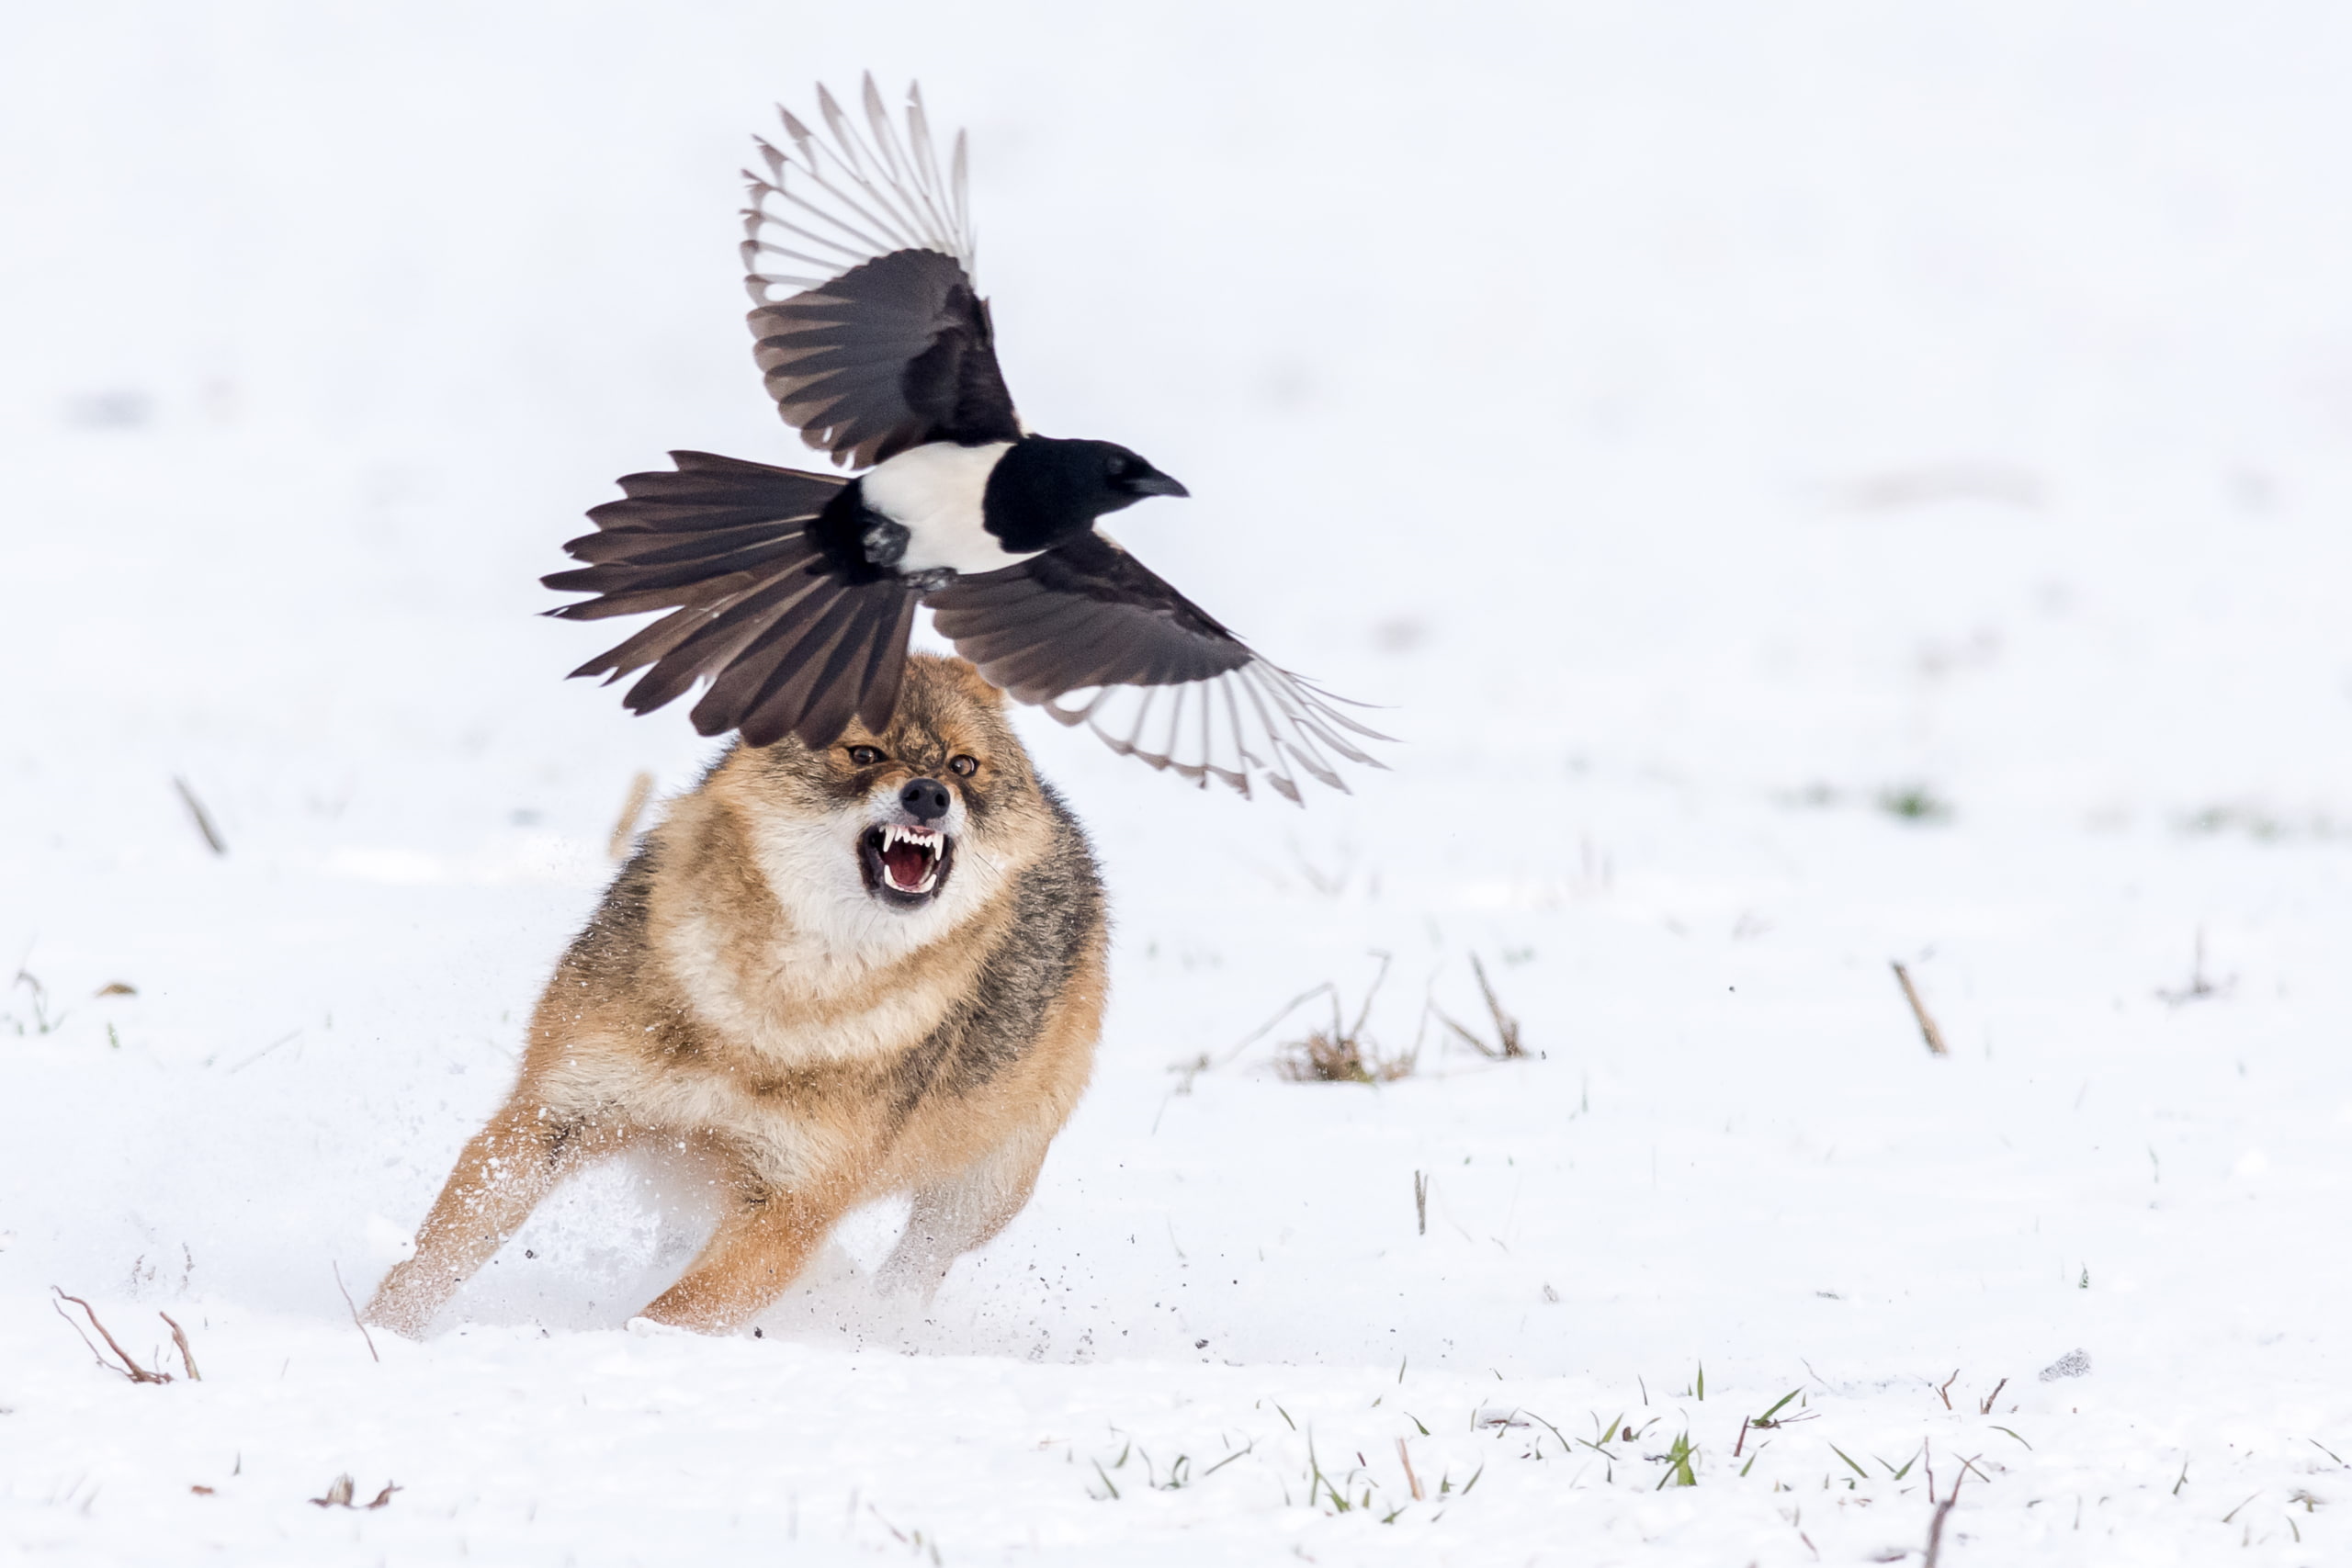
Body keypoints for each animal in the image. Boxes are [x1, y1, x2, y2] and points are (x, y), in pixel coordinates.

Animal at [367, 654, 1107, 1336]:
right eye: (864, 753)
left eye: (964, 765)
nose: (929, 795)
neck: (766, 1008)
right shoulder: (546, 1116)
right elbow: (428, 1263)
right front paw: (376, 1335)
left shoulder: (790, 1205)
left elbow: (673, 1314)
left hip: (983, 1191)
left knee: (917, 1267)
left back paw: (884, 1324)